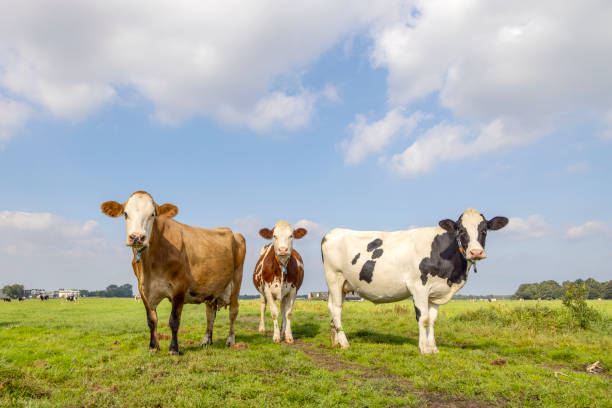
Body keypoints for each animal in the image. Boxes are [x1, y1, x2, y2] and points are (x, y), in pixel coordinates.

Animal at [101, 191, 246, 354]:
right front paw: (153, 347)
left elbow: (174, 320)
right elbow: (151, 320)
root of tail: (232, 232)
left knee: (233, 311)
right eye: (125, 214)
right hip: (211, 288)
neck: (150, 265)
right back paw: (206, 340)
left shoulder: (179, 287)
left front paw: (174, 349)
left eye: (153, 214)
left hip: (236, 280)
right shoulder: (143, 289)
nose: (137, 237)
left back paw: (230, 340)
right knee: (210, 313)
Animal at [320, 209, 506, 352]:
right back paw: (344, 343)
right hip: (334, 278)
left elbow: (432, 320)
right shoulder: (419, 287)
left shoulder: (435, 292)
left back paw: (335, 341)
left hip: (342, 285)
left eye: (484, 230)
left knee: (331, 308)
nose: (476, 252)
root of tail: (331, 233)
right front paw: (424, 349)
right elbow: (423, 318)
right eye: (461, 230)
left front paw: (433, 348)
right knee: (336, 309)